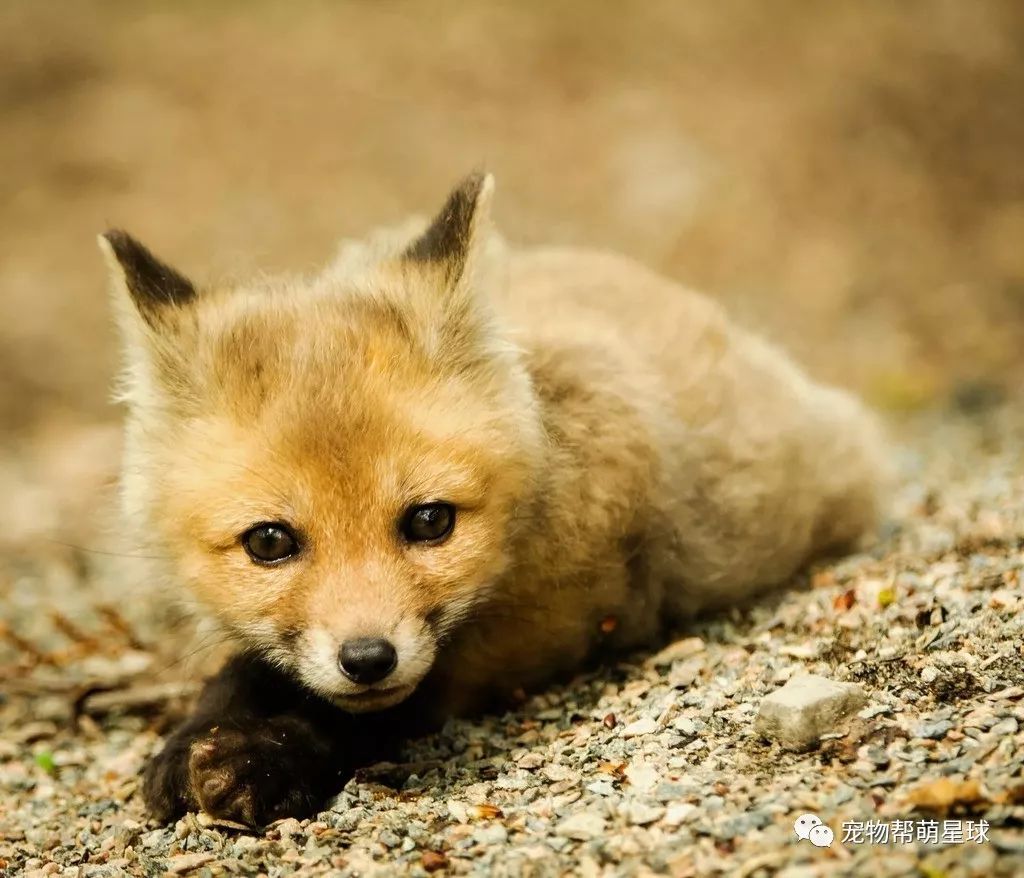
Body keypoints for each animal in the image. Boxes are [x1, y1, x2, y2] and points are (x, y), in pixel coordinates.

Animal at [101, 171, 888, 823]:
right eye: (269, 541)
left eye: (430, 521)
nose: (367, 658)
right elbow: (247, 668)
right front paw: (196, 737)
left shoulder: (553, 618)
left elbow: (375, 712)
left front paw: (264, 759)